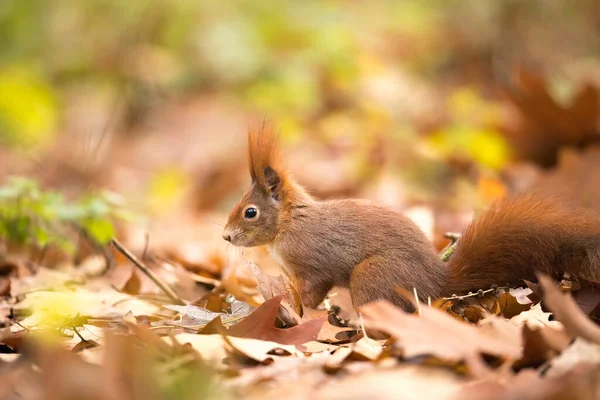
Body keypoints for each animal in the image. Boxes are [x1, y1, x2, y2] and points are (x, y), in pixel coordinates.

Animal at [221, 123, 600, 310]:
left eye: (250, 212)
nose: (225, 236)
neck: (288, 223)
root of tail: (436, 283)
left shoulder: (314, 267)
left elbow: (312, 296)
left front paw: (299, 314)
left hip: (373, 276)